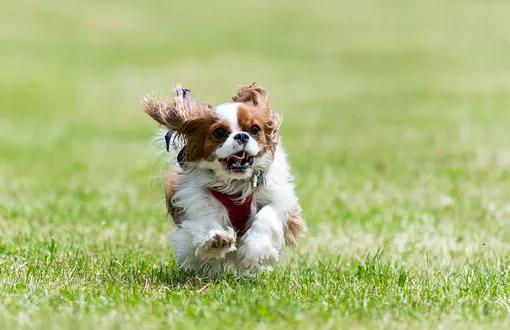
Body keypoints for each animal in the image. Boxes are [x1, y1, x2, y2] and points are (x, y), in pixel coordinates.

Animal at [141, 82, 304, 276]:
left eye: (255, 129)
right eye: (219, 132)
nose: (241, 136)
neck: (234, 183)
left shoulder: (280, 199)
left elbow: (267, 215)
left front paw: (255, 250)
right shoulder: (199, 202)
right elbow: (206, 222)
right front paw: (216, 239)